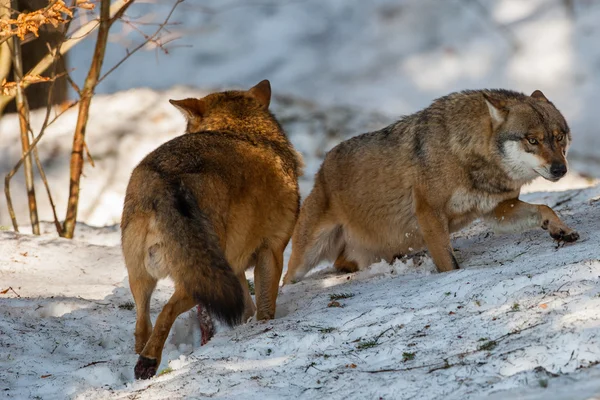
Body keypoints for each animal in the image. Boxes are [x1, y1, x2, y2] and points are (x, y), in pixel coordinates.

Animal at [121, 79, 302, 378]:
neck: (245, 132)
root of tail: (163, 181)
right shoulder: (271, 251)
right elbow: (265, 307)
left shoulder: (235, 269)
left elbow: (247, 309)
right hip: (199, 281)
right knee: (166, 311)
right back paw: (148, 362)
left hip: (145, 277)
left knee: (142, 326)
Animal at [284, 90, 580, 284]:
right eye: (532, 140)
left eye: (558, 137)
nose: (560, 169)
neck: (465, 153)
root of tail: (322, 166)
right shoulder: (429, 213)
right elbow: (449, 264)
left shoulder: (498, 210)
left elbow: (545, 209)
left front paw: (561, 229)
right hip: (305, 256)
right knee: (287, 277)